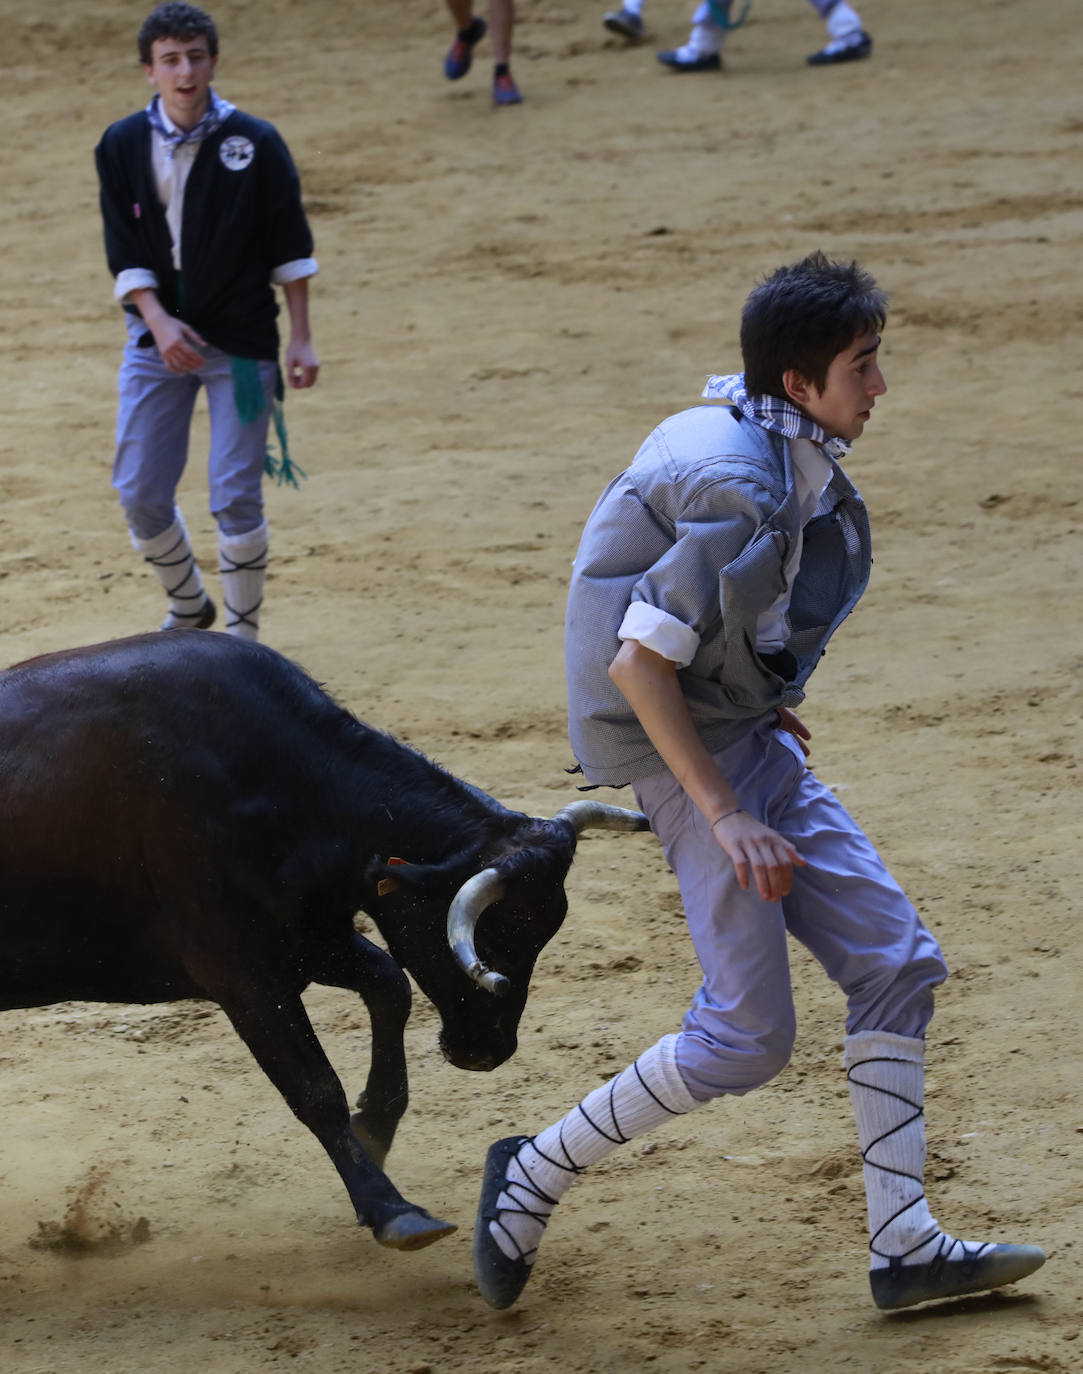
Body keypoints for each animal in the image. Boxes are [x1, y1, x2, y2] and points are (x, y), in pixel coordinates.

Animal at [0, 637, 645, 1253]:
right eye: (492, 934)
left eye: (543, 932)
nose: (487, 1051)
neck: (288, 787)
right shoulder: (242, 973)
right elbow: (314, 1086)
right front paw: (393, 1211)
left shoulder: (307, 939)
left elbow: (388, 984)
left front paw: (375, 1128)